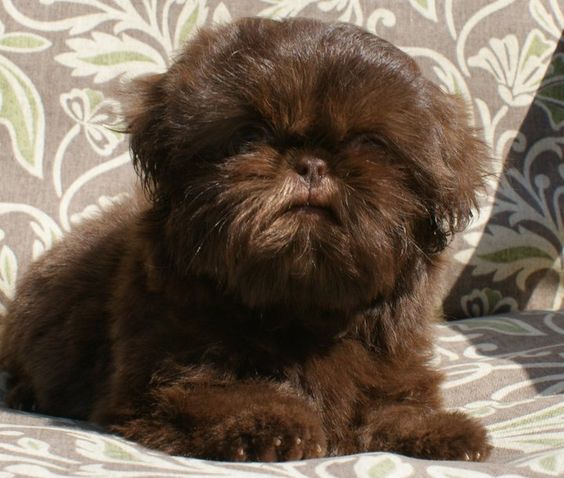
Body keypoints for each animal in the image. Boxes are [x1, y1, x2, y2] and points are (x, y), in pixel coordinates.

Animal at [0, 16, 492, 462]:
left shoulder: (392, 362)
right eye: (250, 135)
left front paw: (439, 429)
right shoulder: (165, 379)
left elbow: (394, 403)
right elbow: (233, 392)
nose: (312, 163)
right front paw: (273, 424)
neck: (297, 310)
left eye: (371, 144)